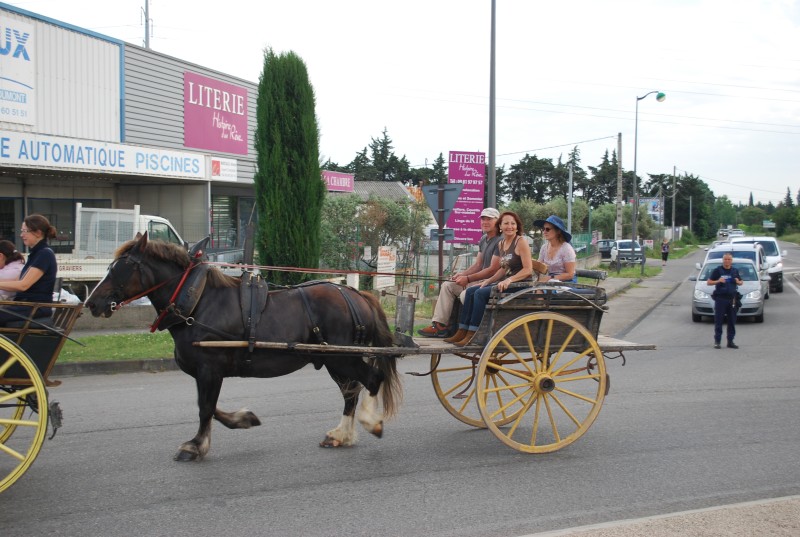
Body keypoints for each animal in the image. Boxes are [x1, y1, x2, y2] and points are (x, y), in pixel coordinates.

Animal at [84, 232, 404, 458]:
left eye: (123, 267)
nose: (92, 303)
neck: (198, 302)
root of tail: (357, 295)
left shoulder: (209, 369)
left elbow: (205, 408)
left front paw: (195, 446)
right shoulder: (208, 372)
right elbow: (209, 406)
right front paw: (244, 419)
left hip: (342, 357)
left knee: (372, 380)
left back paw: (370, 422)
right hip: (332, 359)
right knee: (351, 392)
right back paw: (341, 435)